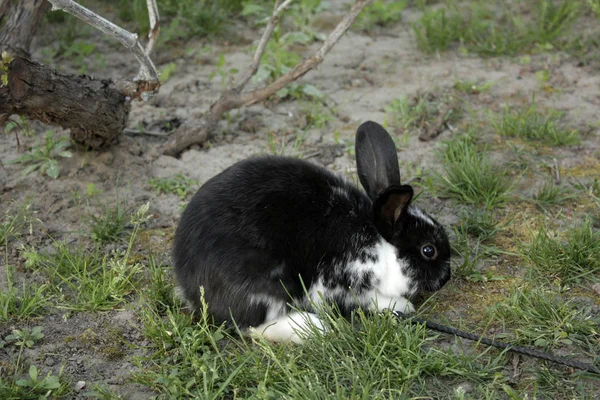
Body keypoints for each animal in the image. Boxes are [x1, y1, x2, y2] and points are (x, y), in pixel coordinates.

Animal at [172, 120, 450, 342]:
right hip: (267, 285)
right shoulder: (342, 282)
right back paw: (312, 328)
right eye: (428, 250)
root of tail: (189, 286)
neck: (379, 242)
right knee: (250, 325)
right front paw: (401, 305)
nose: (445, 279)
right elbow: (368, 299)